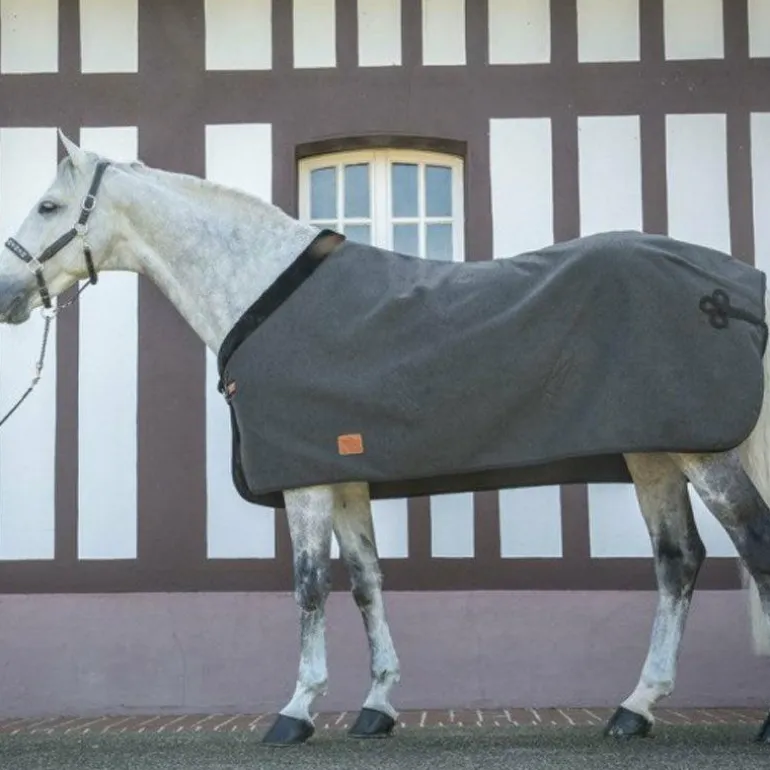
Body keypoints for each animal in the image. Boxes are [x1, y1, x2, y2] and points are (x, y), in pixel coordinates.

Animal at [0, 132, 769, 747]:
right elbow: (368, 583)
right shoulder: (345, 477)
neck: (262, 293)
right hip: (652, 452)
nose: (7, 293)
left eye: (49, 206)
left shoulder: (306, 481)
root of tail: (738, 287)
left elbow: (309, 588)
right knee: (678, 561)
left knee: (752, 542)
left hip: (703, 451)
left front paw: (296, 712)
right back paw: (634, 708)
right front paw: (376, 707)